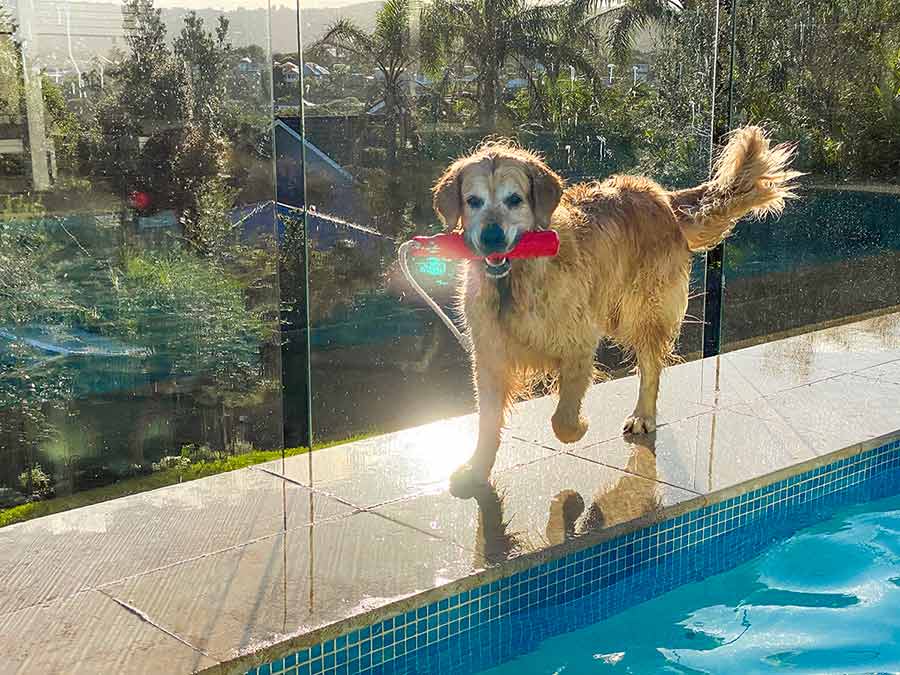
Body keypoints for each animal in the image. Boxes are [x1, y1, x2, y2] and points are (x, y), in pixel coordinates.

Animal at [436, 128, 800, 496]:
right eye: (473, 200)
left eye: (515, 199)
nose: (492, 237)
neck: (516, 280)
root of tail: (660, 197)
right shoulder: (489, 356)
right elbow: (487, 420)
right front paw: (477, 468)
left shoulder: (579, 345)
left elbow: (562, 419)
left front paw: (579, 428)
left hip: (640, 313)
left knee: (651, 369)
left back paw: (643, 415)